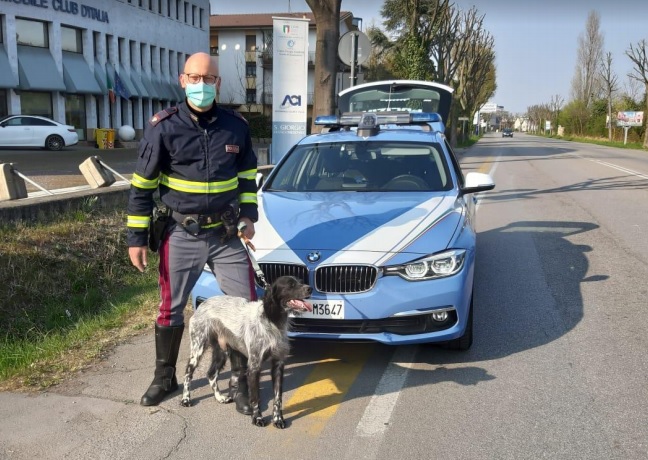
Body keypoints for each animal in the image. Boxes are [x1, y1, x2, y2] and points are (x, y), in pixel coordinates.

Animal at [181, 274, 312, 428]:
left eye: (300, 282)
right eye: (291, 285)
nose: (309, 288)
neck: (272, 321)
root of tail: (203, 304)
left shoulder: (278, 364)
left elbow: (277, 397)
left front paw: (278, 419)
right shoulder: (254, 366)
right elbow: (255, 398)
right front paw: (258, 418)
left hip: (222, 351)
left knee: (211, 373)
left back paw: (219, 398)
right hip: (198, 348)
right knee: (188, 374)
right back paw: (185, 399)